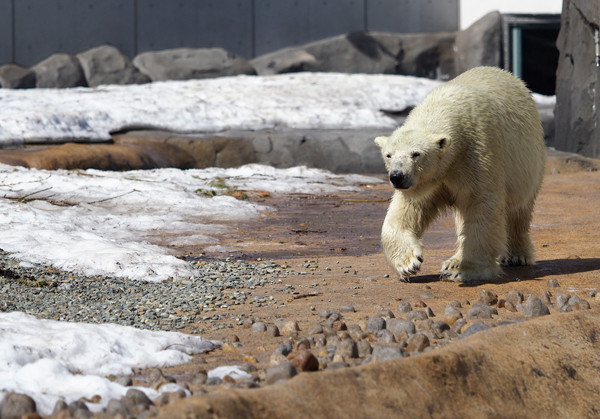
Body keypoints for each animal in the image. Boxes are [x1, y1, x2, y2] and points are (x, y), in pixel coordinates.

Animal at [378, 67, 548, 282]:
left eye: (416, 154)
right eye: (389, 155)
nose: (397, 176)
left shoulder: (478, 155)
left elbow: (481, 207)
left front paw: (464, 270)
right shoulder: (430, 180)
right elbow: (407, 209)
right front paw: (409, 263)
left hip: (527, 163)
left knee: (519, 210)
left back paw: (517, 256)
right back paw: (454, 260)